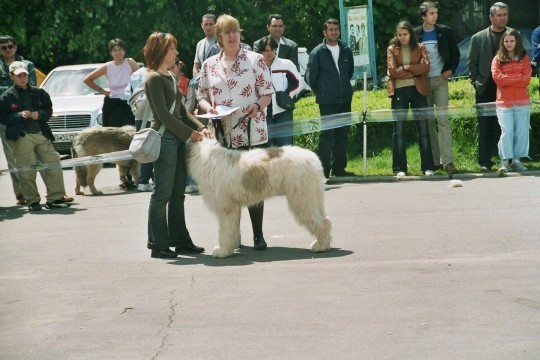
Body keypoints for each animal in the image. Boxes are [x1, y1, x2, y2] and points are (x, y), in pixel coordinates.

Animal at [186, 139, 332, 258]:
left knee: (321, 223)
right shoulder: (233, 207)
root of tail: (314, 159)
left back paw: (320, 246)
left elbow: (225, 231)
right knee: (326, 220)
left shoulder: (226, 208)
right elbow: (232, 229)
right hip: (313, 197)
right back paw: (322, 243)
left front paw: (222, 251)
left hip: (302, 199)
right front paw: (232, 246)